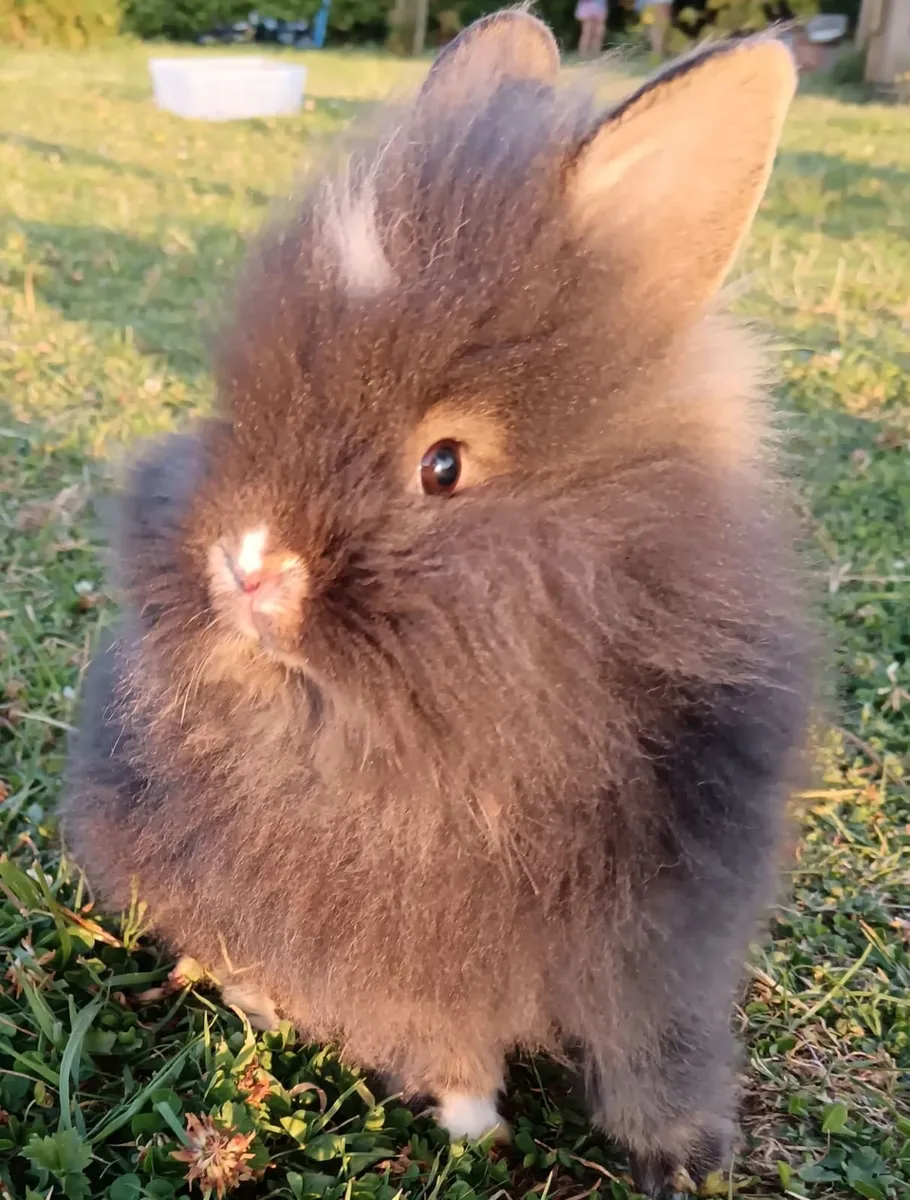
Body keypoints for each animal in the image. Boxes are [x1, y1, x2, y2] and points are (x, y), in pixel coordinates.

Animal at [62, 13, 812, 1197]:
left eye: (444, 466)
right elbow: (440, 1038)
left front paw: (688, 1157)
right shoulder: (396, 950)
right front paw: (474, 1125)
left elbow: (659, 1052)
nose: (246, 566)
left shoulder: (671, 942)